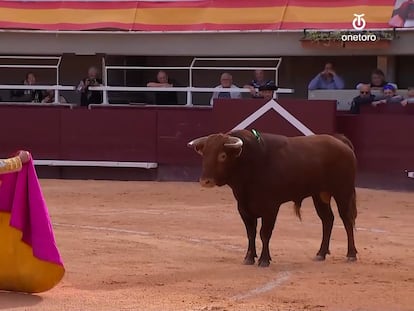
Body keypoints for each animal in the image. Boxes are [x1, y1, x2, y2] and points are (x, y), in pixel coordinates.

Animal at [189, 129, 358, 268]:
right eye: (204, 155)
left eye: (222, 156)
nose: (205, 181)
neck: (251, 163)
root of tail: (340, 141)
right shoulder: (243, 208)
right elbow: (251, 233)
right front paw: (249, 257)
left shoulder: (270, 208)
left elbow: (264, 233)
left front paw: (264, 260)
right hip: (320, 195)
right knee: (327, 220)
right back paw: (321, 253)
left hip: (343, 192)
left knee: (346, 219)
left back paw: (351, 254)